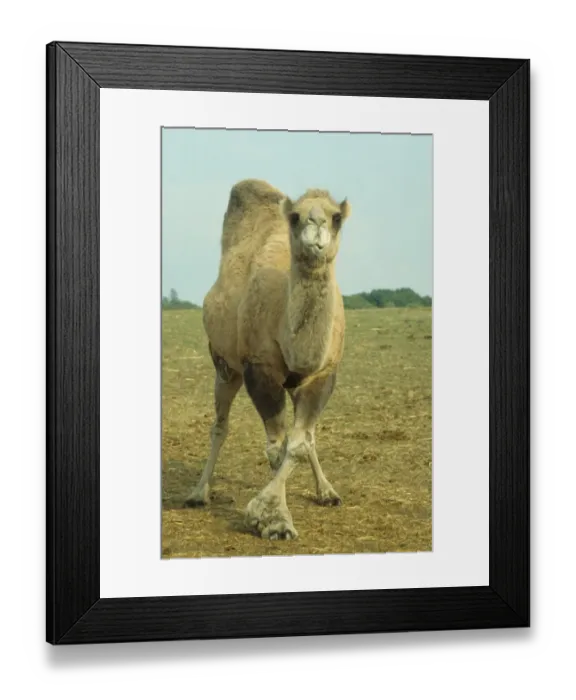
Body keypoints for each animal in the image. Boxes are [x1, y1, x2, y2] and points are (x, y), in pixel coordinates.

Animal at [184, 178, 351, 540]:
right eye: (296, 216)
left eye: (335, 218)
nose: (315, 226)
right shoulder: (259, 368)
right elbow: (277, 447)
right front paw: (274, 519)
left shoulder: (323, 374)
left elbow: (299, 444)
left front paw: (280, 508)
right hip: (225, 367)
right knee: (220, 425)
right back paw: (198, 493)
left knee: (307, 437)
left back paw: (327, 491)